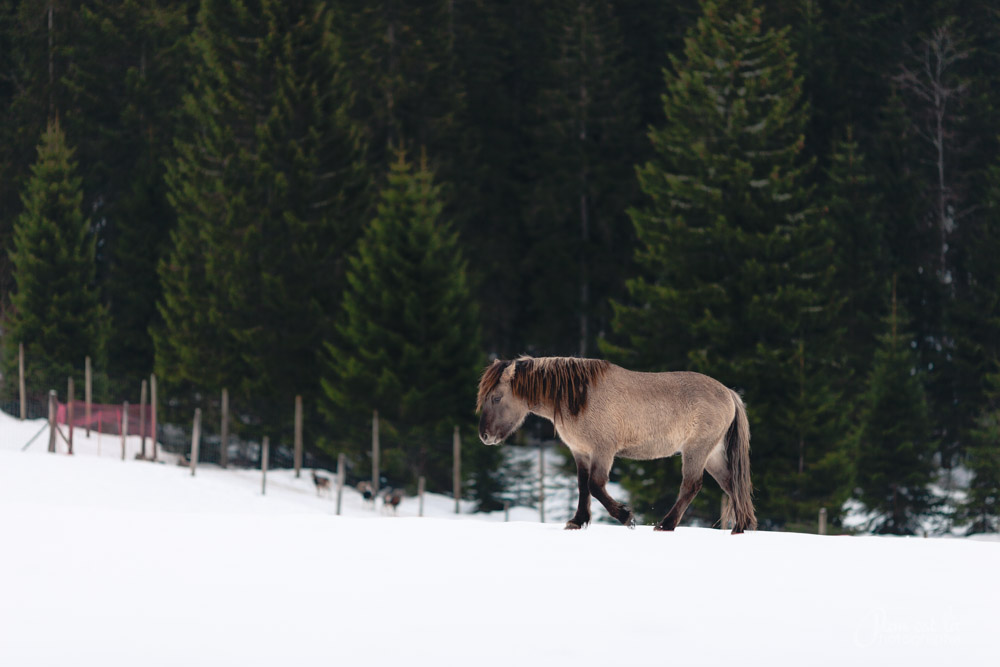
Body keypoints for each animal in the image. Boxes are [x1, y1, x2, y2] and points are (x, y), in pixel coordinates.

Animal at [480, 358, 752, 536]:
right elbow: (583, 486)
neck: (579, 397)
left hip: (696, 451)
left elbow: (595, 485)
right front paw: (577, 521)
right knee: (732, 484)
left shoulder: (603, 450)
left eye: (496, 397)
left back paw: (666, 525)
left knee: (691, 486)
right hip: (712, 455)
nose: (485, 436)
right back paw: (741, 527)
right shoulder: (581, 452)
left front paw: (626, 516)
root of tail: (728, 393)